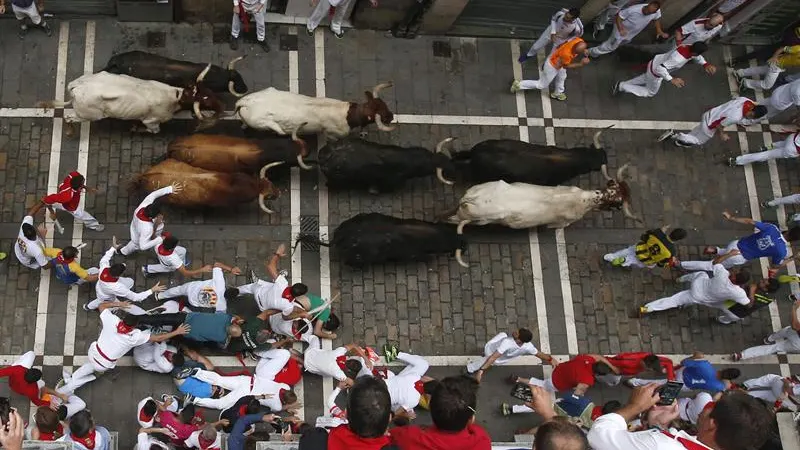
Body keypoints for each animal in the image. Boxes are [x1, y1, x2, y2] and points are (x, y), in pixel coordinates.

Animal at [234, 82, 396, 139]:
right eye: (382, 116)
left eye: (383, 104)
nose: (392, 116)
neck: (348, 114)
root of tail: (244, 101)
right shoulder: (333, 134)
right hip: (263, 124)